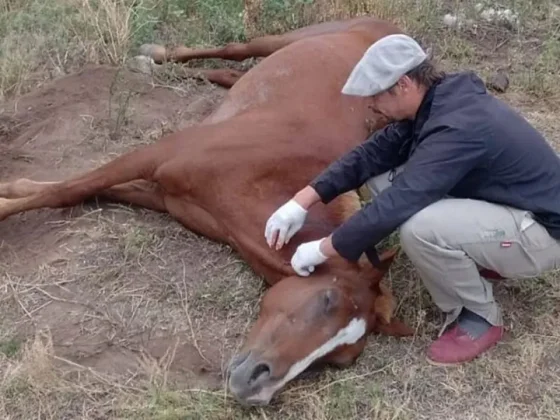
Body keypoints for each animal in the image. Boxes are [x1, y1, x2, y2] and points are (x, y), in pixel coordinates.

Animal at [0, 17, 414, 406]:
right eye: (327, 300)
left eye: (339, 360)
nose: (256, 387)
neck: (268, 171)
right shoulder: (159, 156)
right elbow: (69, 190)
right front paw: (7, 200)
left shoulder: (162, 193)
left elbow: (74, 191)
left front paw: (13, 189)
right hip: (287, 39)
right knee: (236, 50)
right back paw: (151, 57)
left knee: (227, 74)